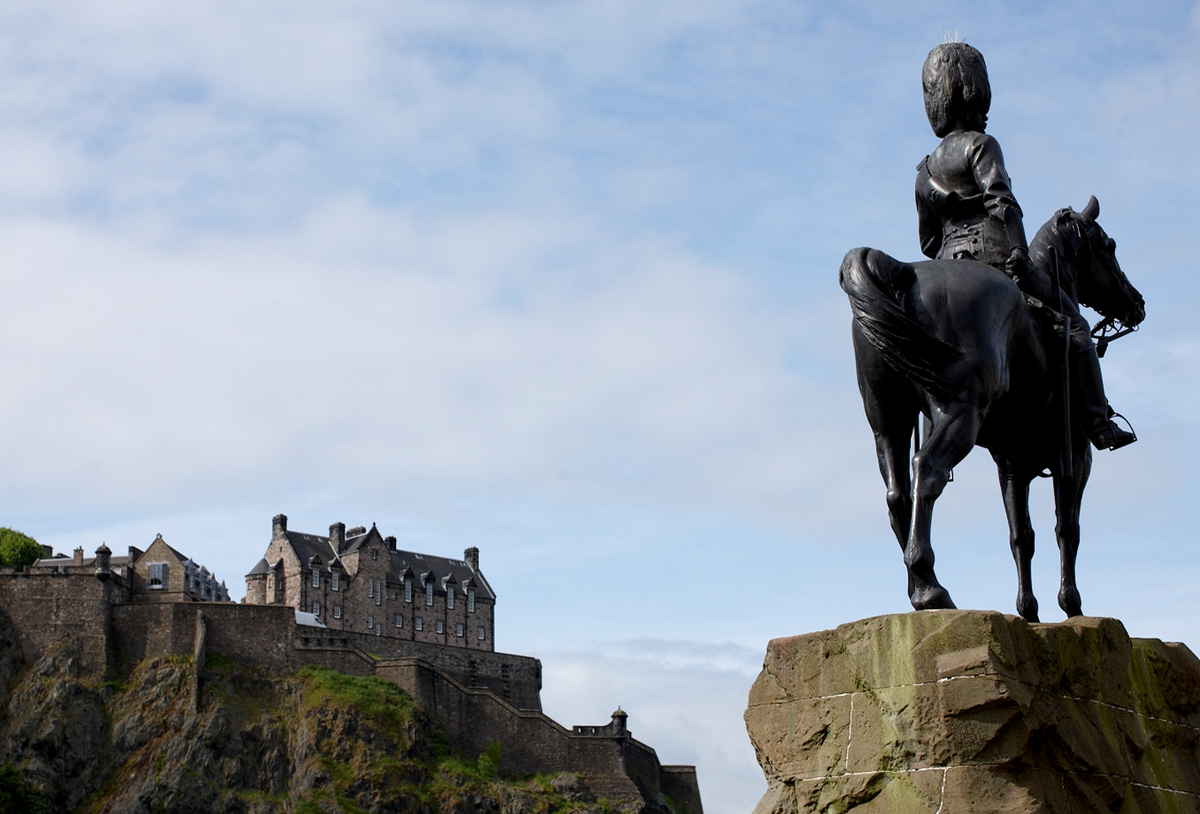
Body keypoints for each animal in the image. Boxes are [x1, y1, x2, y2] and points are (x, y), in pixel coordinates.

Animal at [840, 198, 1147, 624]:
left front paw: (1029, 611)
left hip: (888, 420)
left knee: (897, 492)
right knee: (927, 471)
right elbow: (1066, 529)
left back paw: (919, 588)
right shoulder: (1076, 458)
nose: (1137, 303)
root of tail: (904, 271)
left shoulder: (1012, 467)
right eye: (1108, 247)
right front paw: (1071, 605)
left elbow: (1021, 537)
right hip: (960, 411)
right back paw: (930, 585)